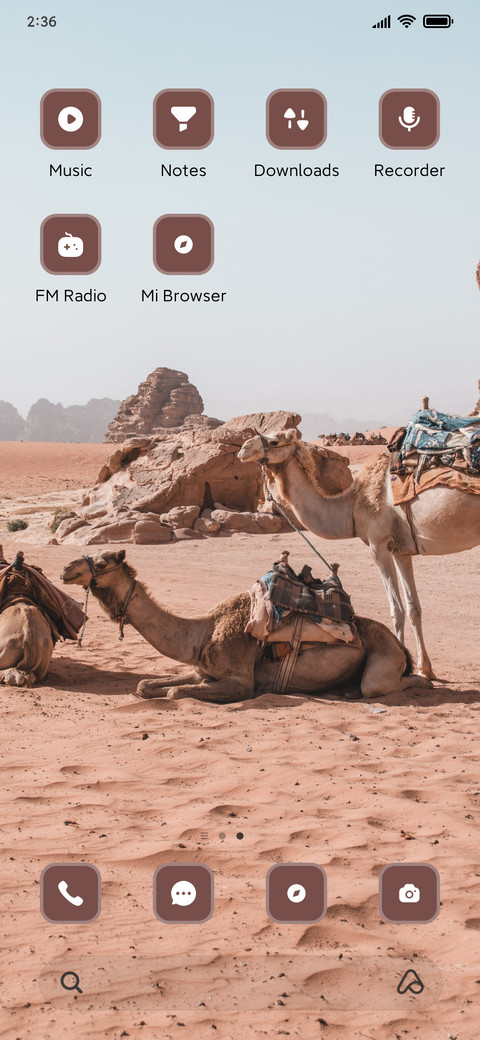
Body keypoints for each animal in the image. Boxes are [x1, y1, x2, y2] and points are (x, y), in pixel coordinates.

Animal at [61, 550, 431, 702]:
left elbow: (175, 692)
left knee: (386, 684)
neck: (201, 633)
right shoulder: (202, 671)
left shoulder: (239, 681)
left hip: (383, 658)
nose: (66, 568)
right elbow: (145, 685)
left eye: (103, 563)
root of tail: (400, 647)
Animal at [238, 428, 480, 679]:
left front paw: (401, 665)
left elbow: (396, 610)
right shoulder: (401, 549)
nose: (244, 448)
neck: (352, 506)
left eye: (275, 440)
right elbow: (413, 608)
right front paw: (425, 669)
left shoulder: (378, 544)